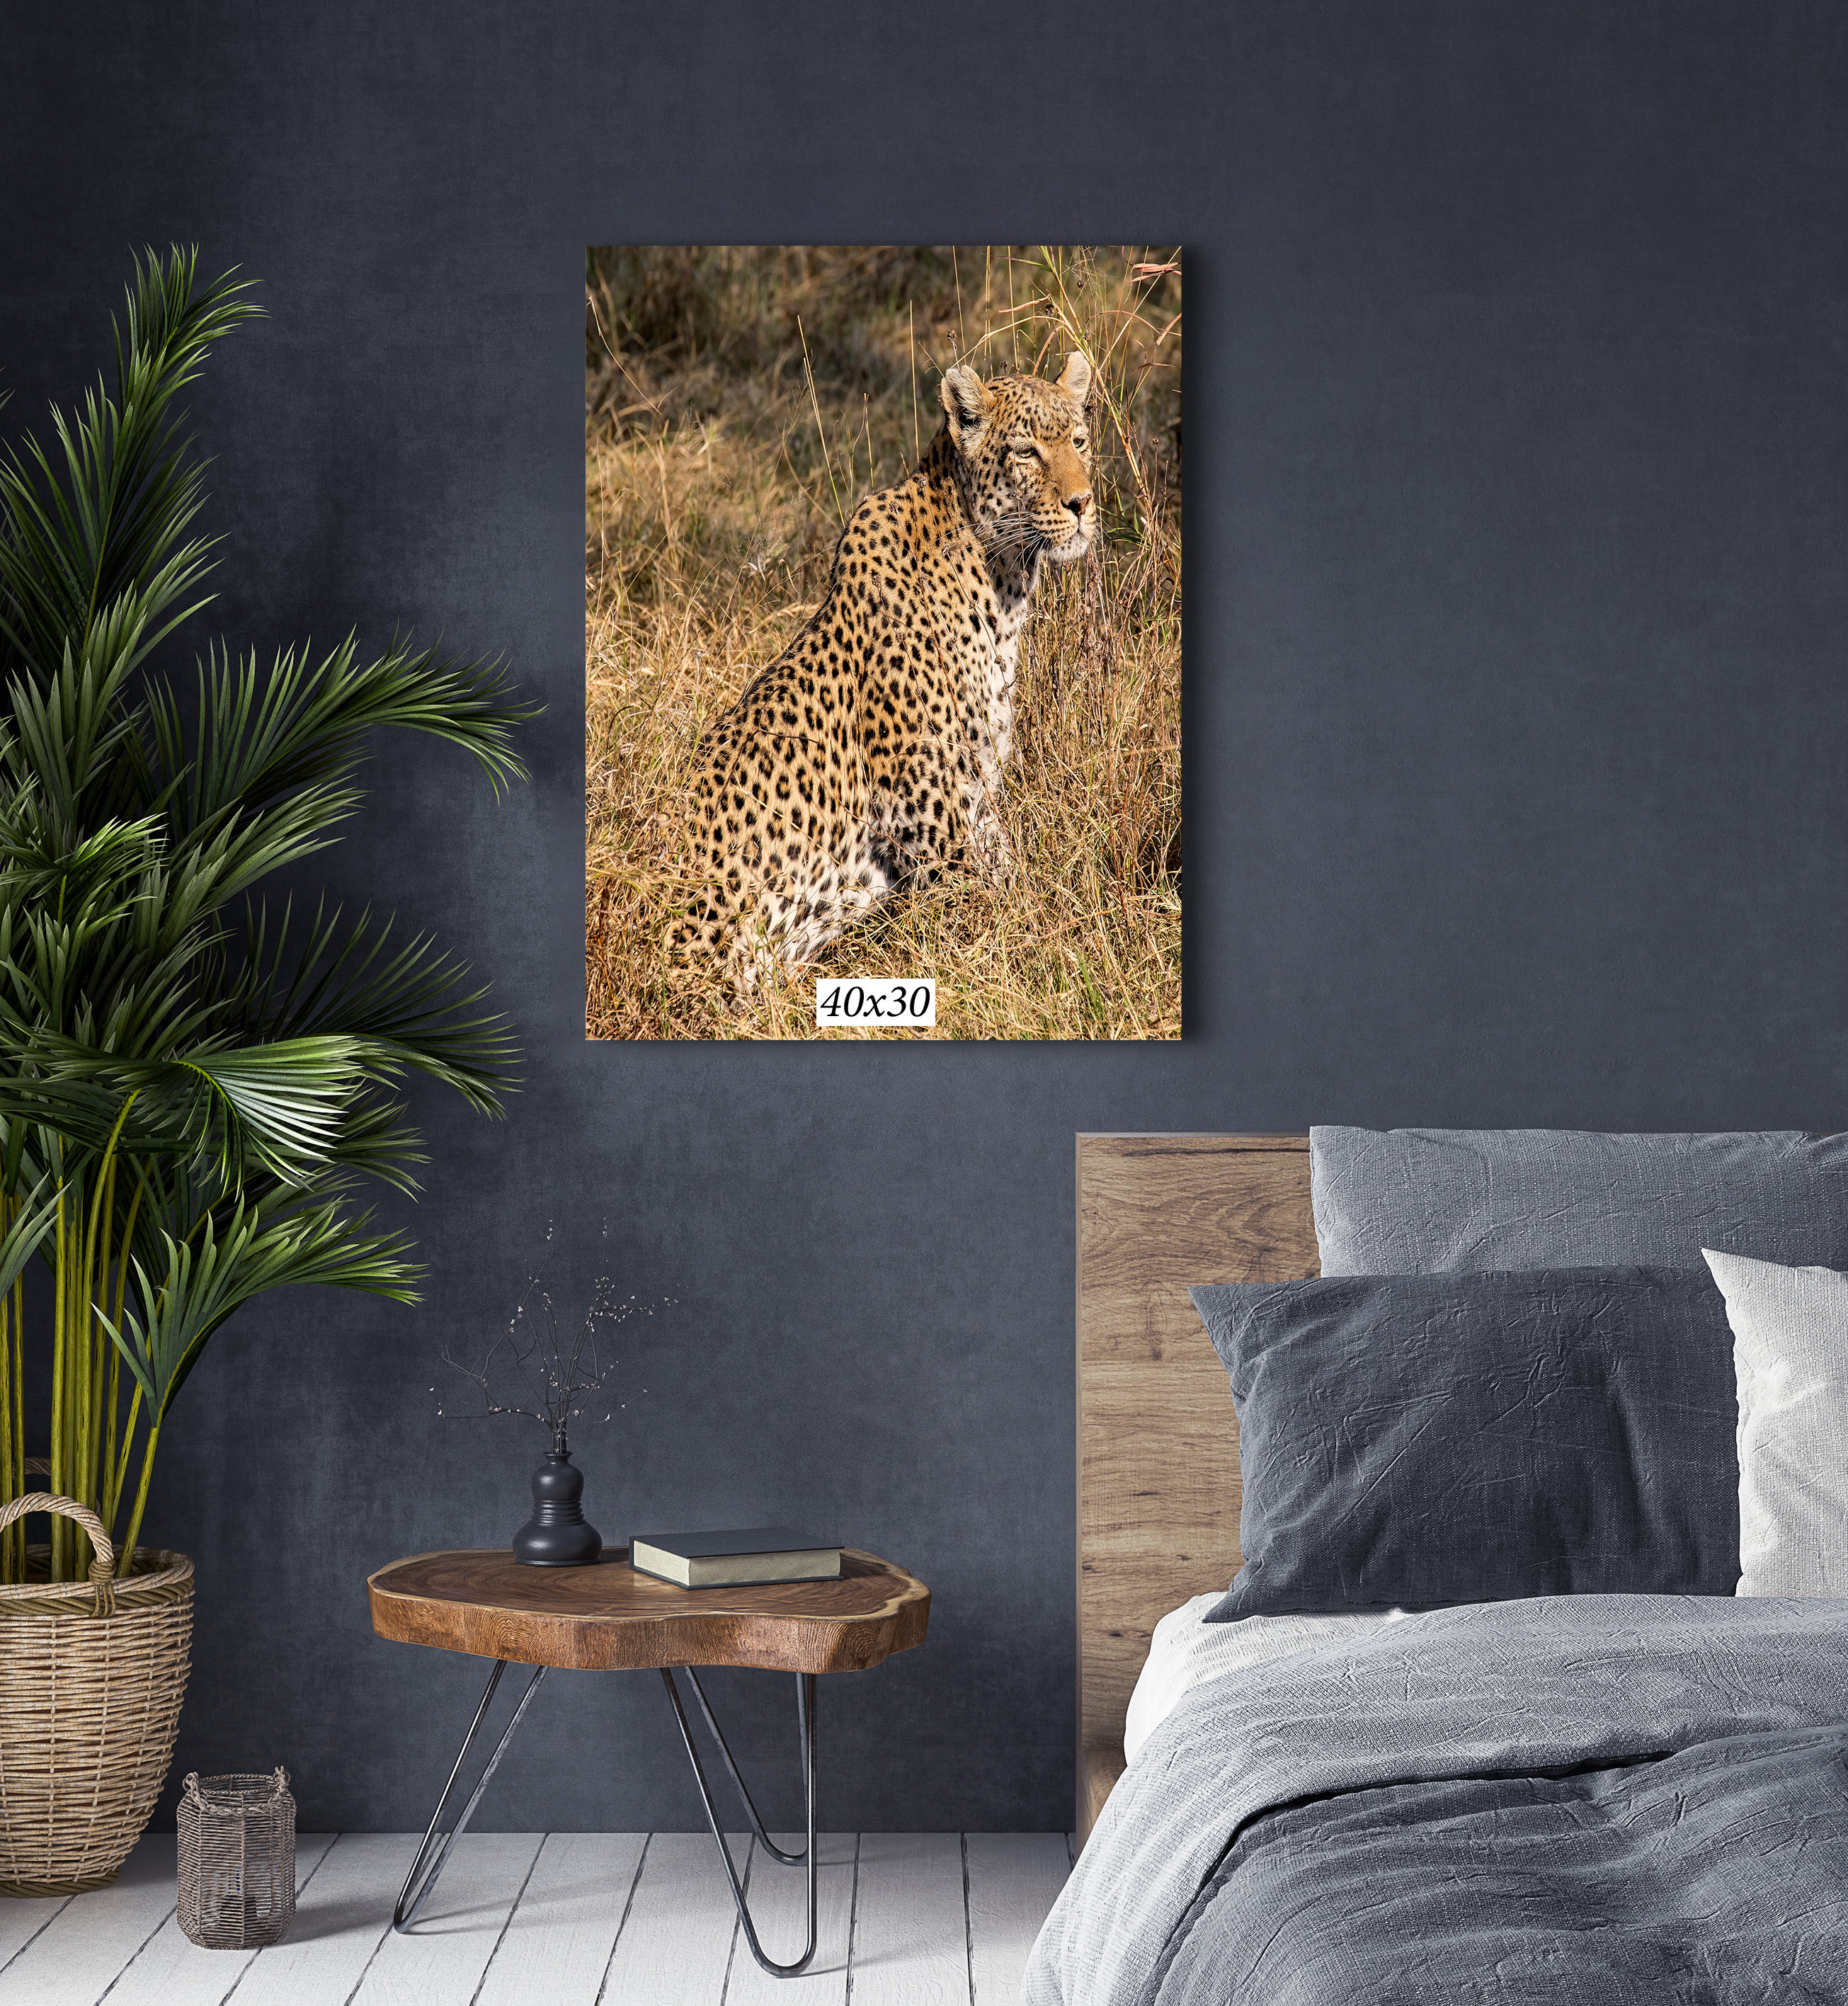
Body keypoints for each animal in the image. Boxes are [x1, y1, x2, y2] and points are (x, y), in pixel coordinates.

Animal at [667, 351, 1097, 991]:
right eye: (1026, 451)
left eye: (1079, 441)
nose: (1083, 503)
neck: (1001, 580)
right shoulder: (931, 817)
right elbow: (998, 917)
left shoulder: (975, 797)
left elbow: (1012, 876)